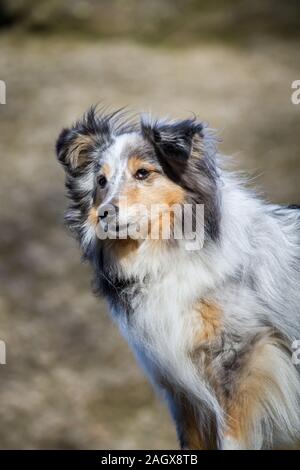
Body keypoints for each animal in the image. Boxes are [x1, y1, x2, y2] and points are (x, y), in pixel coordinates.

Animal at [56, 108, 300, 450]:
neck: (169, 254)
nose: (104, 214)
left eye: (143, 173)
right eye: (101, 180)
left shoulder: (241, 361)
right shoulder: (180, 385)